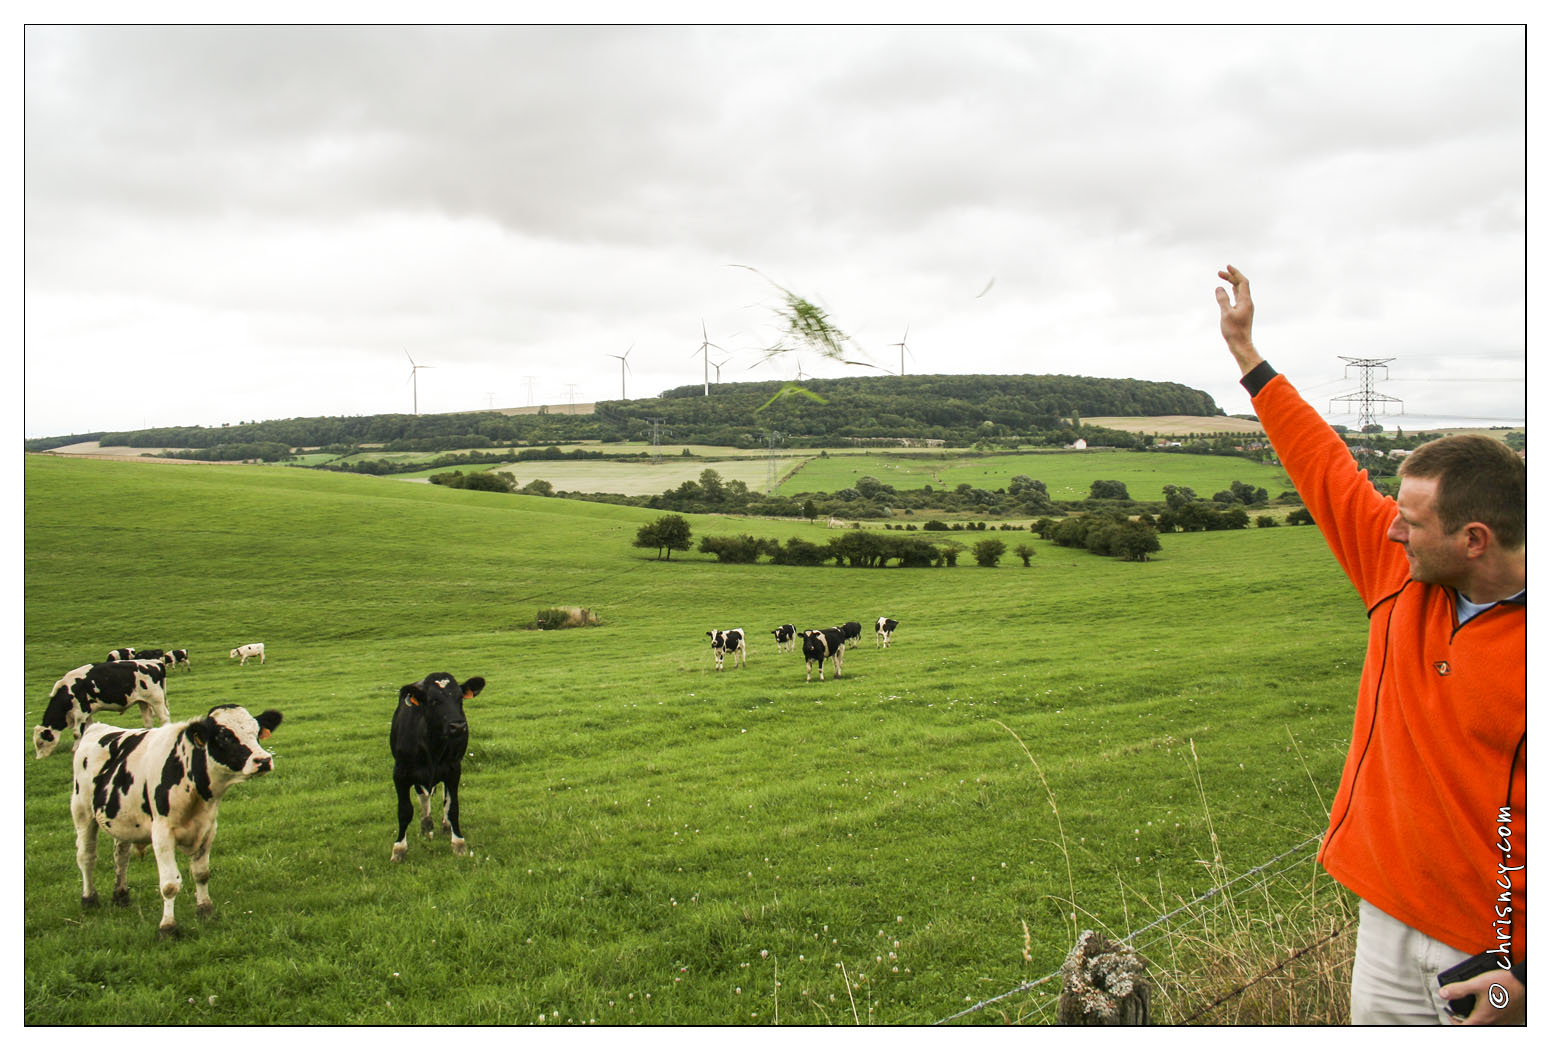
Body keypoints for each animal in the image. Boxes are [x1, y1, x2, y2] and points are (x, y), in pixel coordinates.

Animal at [35, 663, 171, 762]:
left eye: (40, 743)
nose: (38, 759)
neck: (68, 691)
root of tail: (155, 663)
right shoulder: (88, 713)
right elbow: (88, 729)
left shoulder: (80, 712)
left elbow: (76, 733)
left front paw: (75, 749)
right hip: (143, 701)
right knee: (148, 721)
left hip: (156, 700)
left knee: (164, 717)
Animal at [68, 706, 282, 936]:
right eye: (224, 736)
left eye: (257, 732)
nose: (263, 760)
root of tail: (96, 727)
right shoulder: (162, 833)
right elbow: (170, 884)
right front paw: (168, 927)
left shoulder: (208, 828)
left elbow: (201, 873)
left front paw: (205, 910)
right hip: (82, 813)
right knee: (86, 857)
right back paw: (89, 898)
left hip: (122, 818)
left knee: (121, 856)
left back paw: (121, 895)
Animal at [387, 675, 483, 861]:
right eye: (433, 701)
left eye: (460, 698)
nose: (458, 726)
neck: (432, 745)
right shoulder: (400, 772)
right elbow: (404, 811)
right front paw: (399, 849)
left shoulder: (453, 769)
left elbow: (452, 807)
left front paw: (459, 843)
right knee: (423, 795)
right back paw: (426, 824)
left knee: (444, 798)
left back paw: (446, 826)